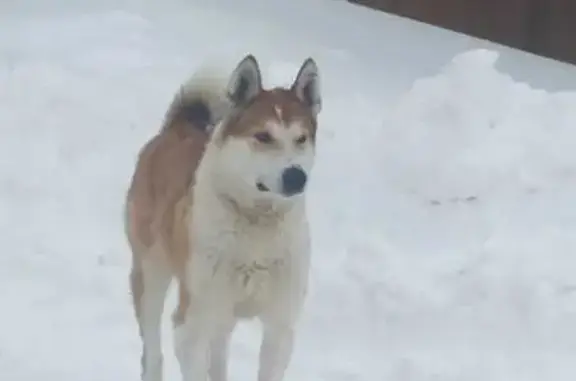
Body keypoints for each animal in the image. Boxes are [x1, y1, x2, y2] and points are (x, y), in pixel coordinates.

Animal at [124, 53, 322, 380]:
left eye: (301, 138)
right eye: (263, 136)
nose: (296, 177)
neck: (257, 225)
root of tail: (178, 126)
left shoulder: (280, 326)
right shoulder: (191, 325)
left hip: (223, 313)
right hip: (150, 276)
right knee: (152, 351)